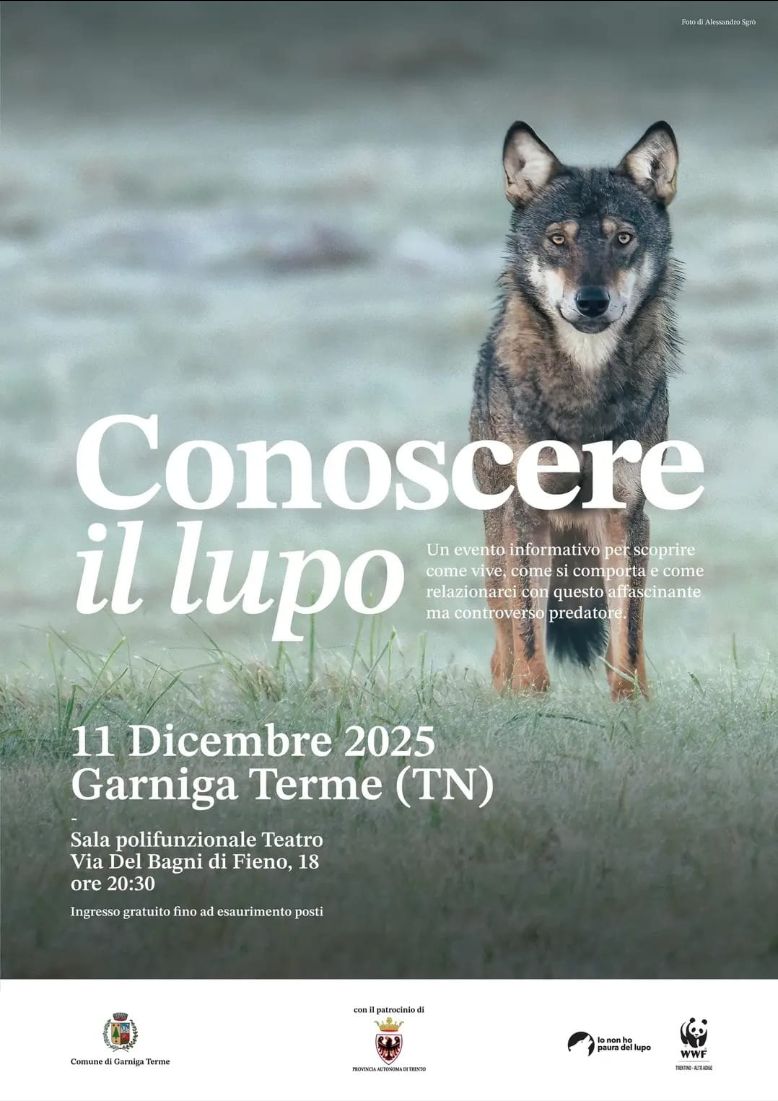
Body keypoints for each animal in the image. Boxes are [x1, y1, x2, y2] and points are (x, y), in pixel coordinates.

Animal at [470, 122, 681, 699]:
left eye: (622, 238)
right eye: (558, 239)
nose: (591, 302)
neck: (582, 389)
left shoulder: (627, 512)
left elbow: (628, 633)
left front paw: (631, 705)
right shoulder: (526, 512)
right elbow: (526, 630)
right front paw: (532, 701)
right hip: (499, 541)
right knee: (503, 638)